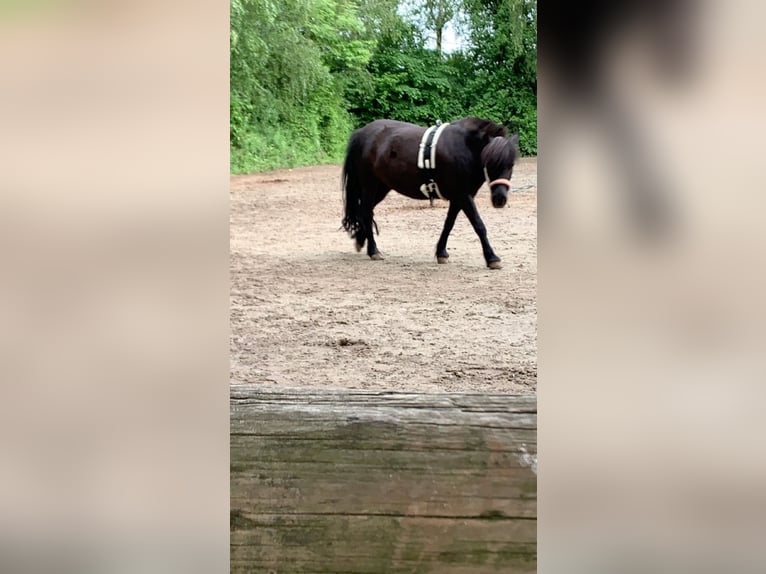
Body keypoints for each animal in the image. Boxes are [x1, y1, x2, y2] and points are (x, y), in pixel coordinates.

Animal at [341, 117, 520, 269]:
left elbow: (449, 224)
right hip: (369, 185)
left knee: (364, 211)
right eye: (490, 162)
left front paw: (441, 253)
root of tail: (362, 133)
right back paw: (373, 250)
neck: (465, 147)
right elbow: (479, 225)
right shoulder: (463, 195)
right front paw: (492, 258)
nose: (500, 199)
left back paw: (361, 240)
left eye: (511, 164)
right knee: (366, 212)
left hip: (382, 187)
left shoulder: (459, 197)